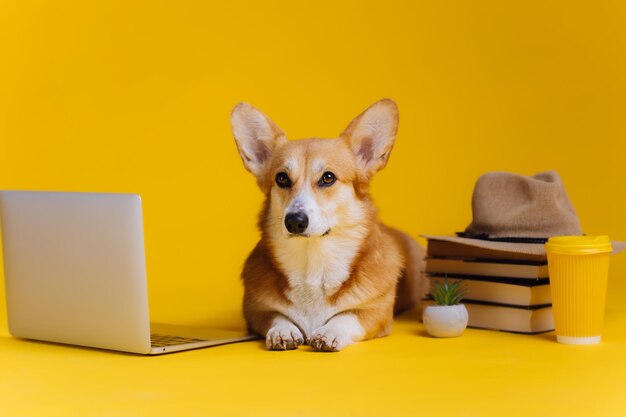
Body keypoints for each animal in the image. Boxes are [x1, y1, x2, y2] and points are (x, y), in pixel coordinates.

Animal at [229, 99, 424, 350]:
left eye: (328, 177)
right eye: (282, 178)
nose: (294, 221)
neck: (313, 263)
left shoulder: (375, 313)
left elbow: (347, 316)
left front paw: (329, 332)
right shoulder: (256, 311)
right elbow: (277, 316)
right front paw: (282, 331)